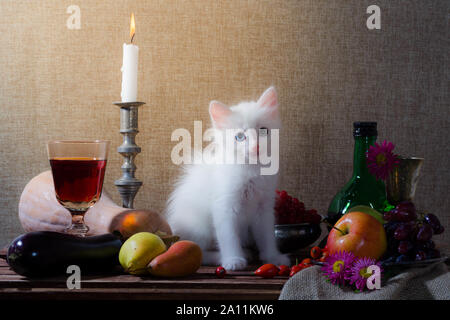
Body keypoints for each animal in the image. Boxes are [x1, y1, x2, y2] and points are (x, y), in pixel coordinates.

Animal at [165, 87, 288, 270]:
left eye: (263, 130)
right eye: (240, 137)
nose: (256, 147)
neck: (252, 170)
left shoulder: (264, 208)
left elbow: (266, 236)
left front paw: (273, 257)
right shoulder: (224, 206)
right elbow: (229, 237)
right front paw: (233, 259)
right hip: (198, 227)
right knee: (196, 251)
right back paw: (224, 257)